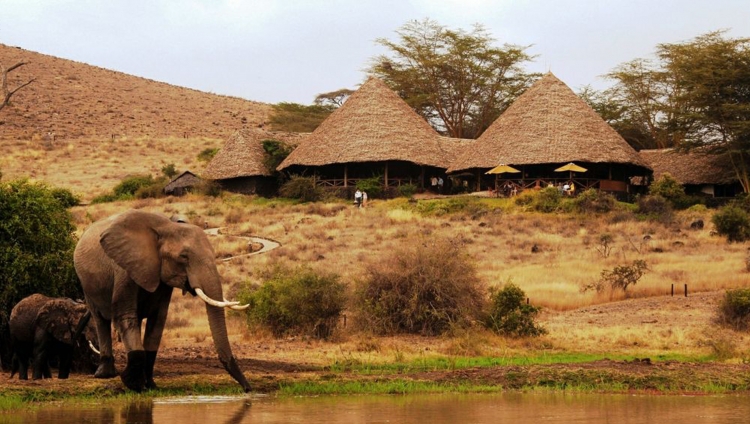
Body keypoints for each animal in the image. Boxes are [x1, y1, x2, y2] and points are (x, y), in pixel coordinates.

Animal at [76, 210, 253, 392]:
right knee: (100, 320)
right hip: (86, 284)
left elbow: (158, 321)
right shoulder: (124, 270)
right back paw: (105, 375)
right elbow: (125, 316)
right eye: (183, 257)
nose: (247, 388)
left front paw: (150, 385)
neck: (166, 227)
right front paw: (134, 385)